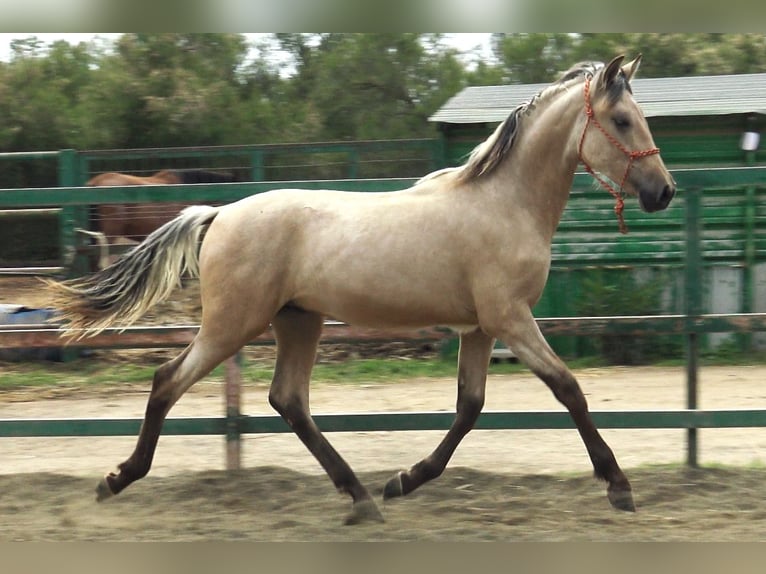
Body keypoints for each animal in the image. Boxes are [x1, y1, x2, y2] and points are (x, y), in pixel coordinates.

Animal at [46, 57, 680, 528]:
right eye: (622, 119)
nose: (664, 192)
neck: (505, 203)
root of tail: (219, 213)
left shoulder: (480, 327)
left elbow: (469, 407)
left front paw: (404, 480)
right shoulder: (511, 319)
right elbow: (568, 390)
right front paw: (619, 486)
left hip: (297, 321)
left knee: (288, 401)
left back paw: (362, 498)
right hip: (233, 325)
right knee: (167, 382)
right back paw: (117, 479)